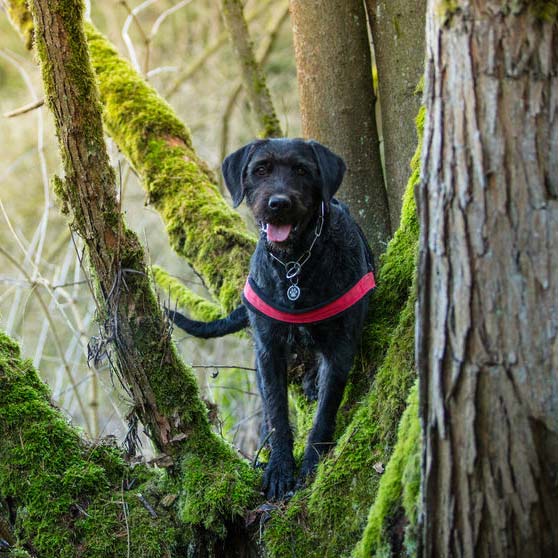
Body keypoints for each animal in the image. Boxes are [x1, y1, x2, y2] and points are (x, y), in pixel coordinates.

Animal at [171, 140, 376, 504]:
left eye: (302, 170)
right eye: (261, 169)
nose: (278, 204)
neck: (295, 264)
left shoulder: (340, 349)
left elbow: (325, 412)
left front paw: (311, 465)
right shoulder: (268, 350)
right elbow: (277, 411)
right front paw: (280, 469)